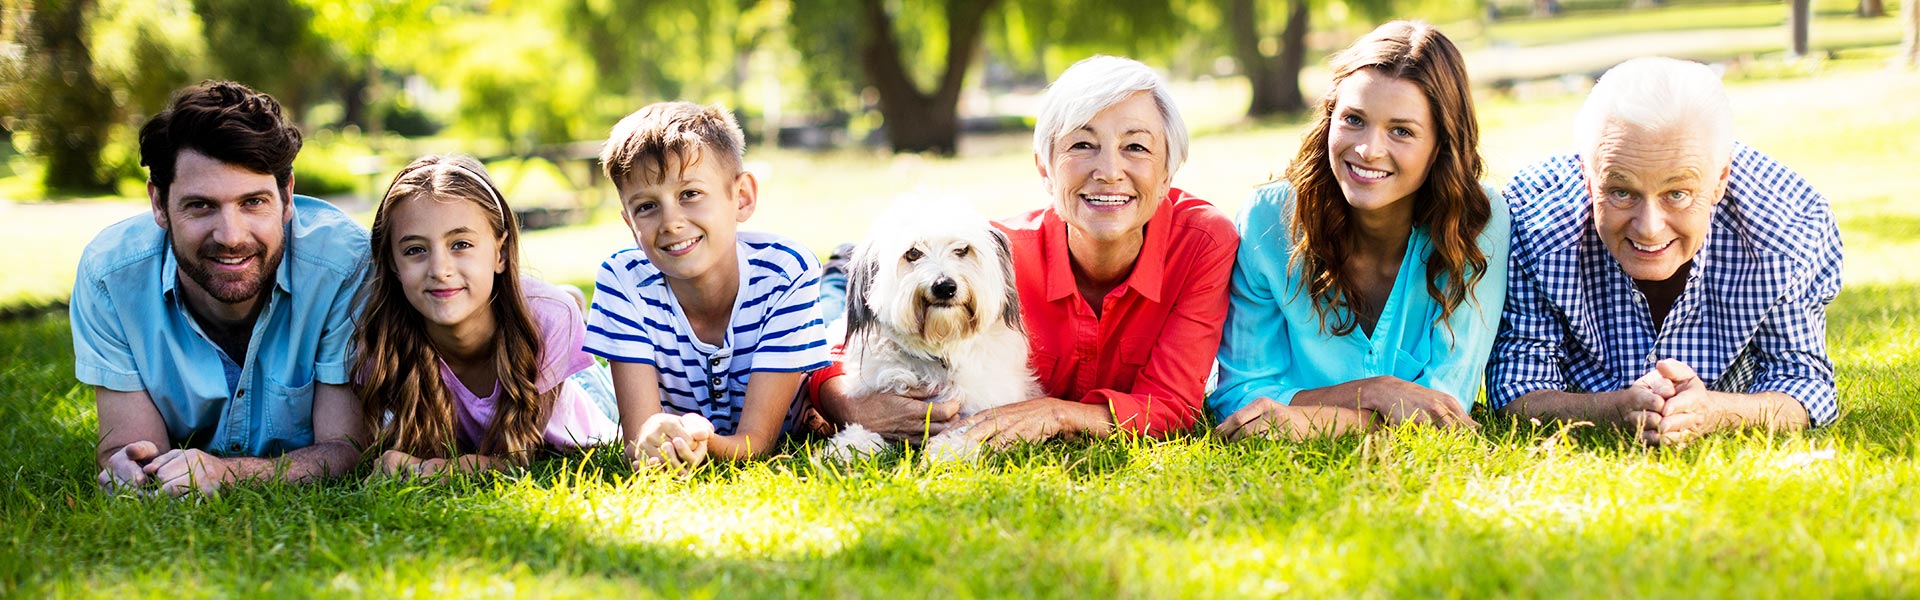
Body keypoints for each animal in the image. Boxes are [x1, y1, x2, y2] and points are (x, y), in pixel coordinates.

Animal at [821, 199, 1044, 461]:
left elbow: (966, 429)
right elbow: (866, 427)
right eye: (913, 253)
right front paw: (847, 449)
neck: (940, 348)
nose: (944, 287)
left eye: (962, 249)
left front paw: (948, 452)